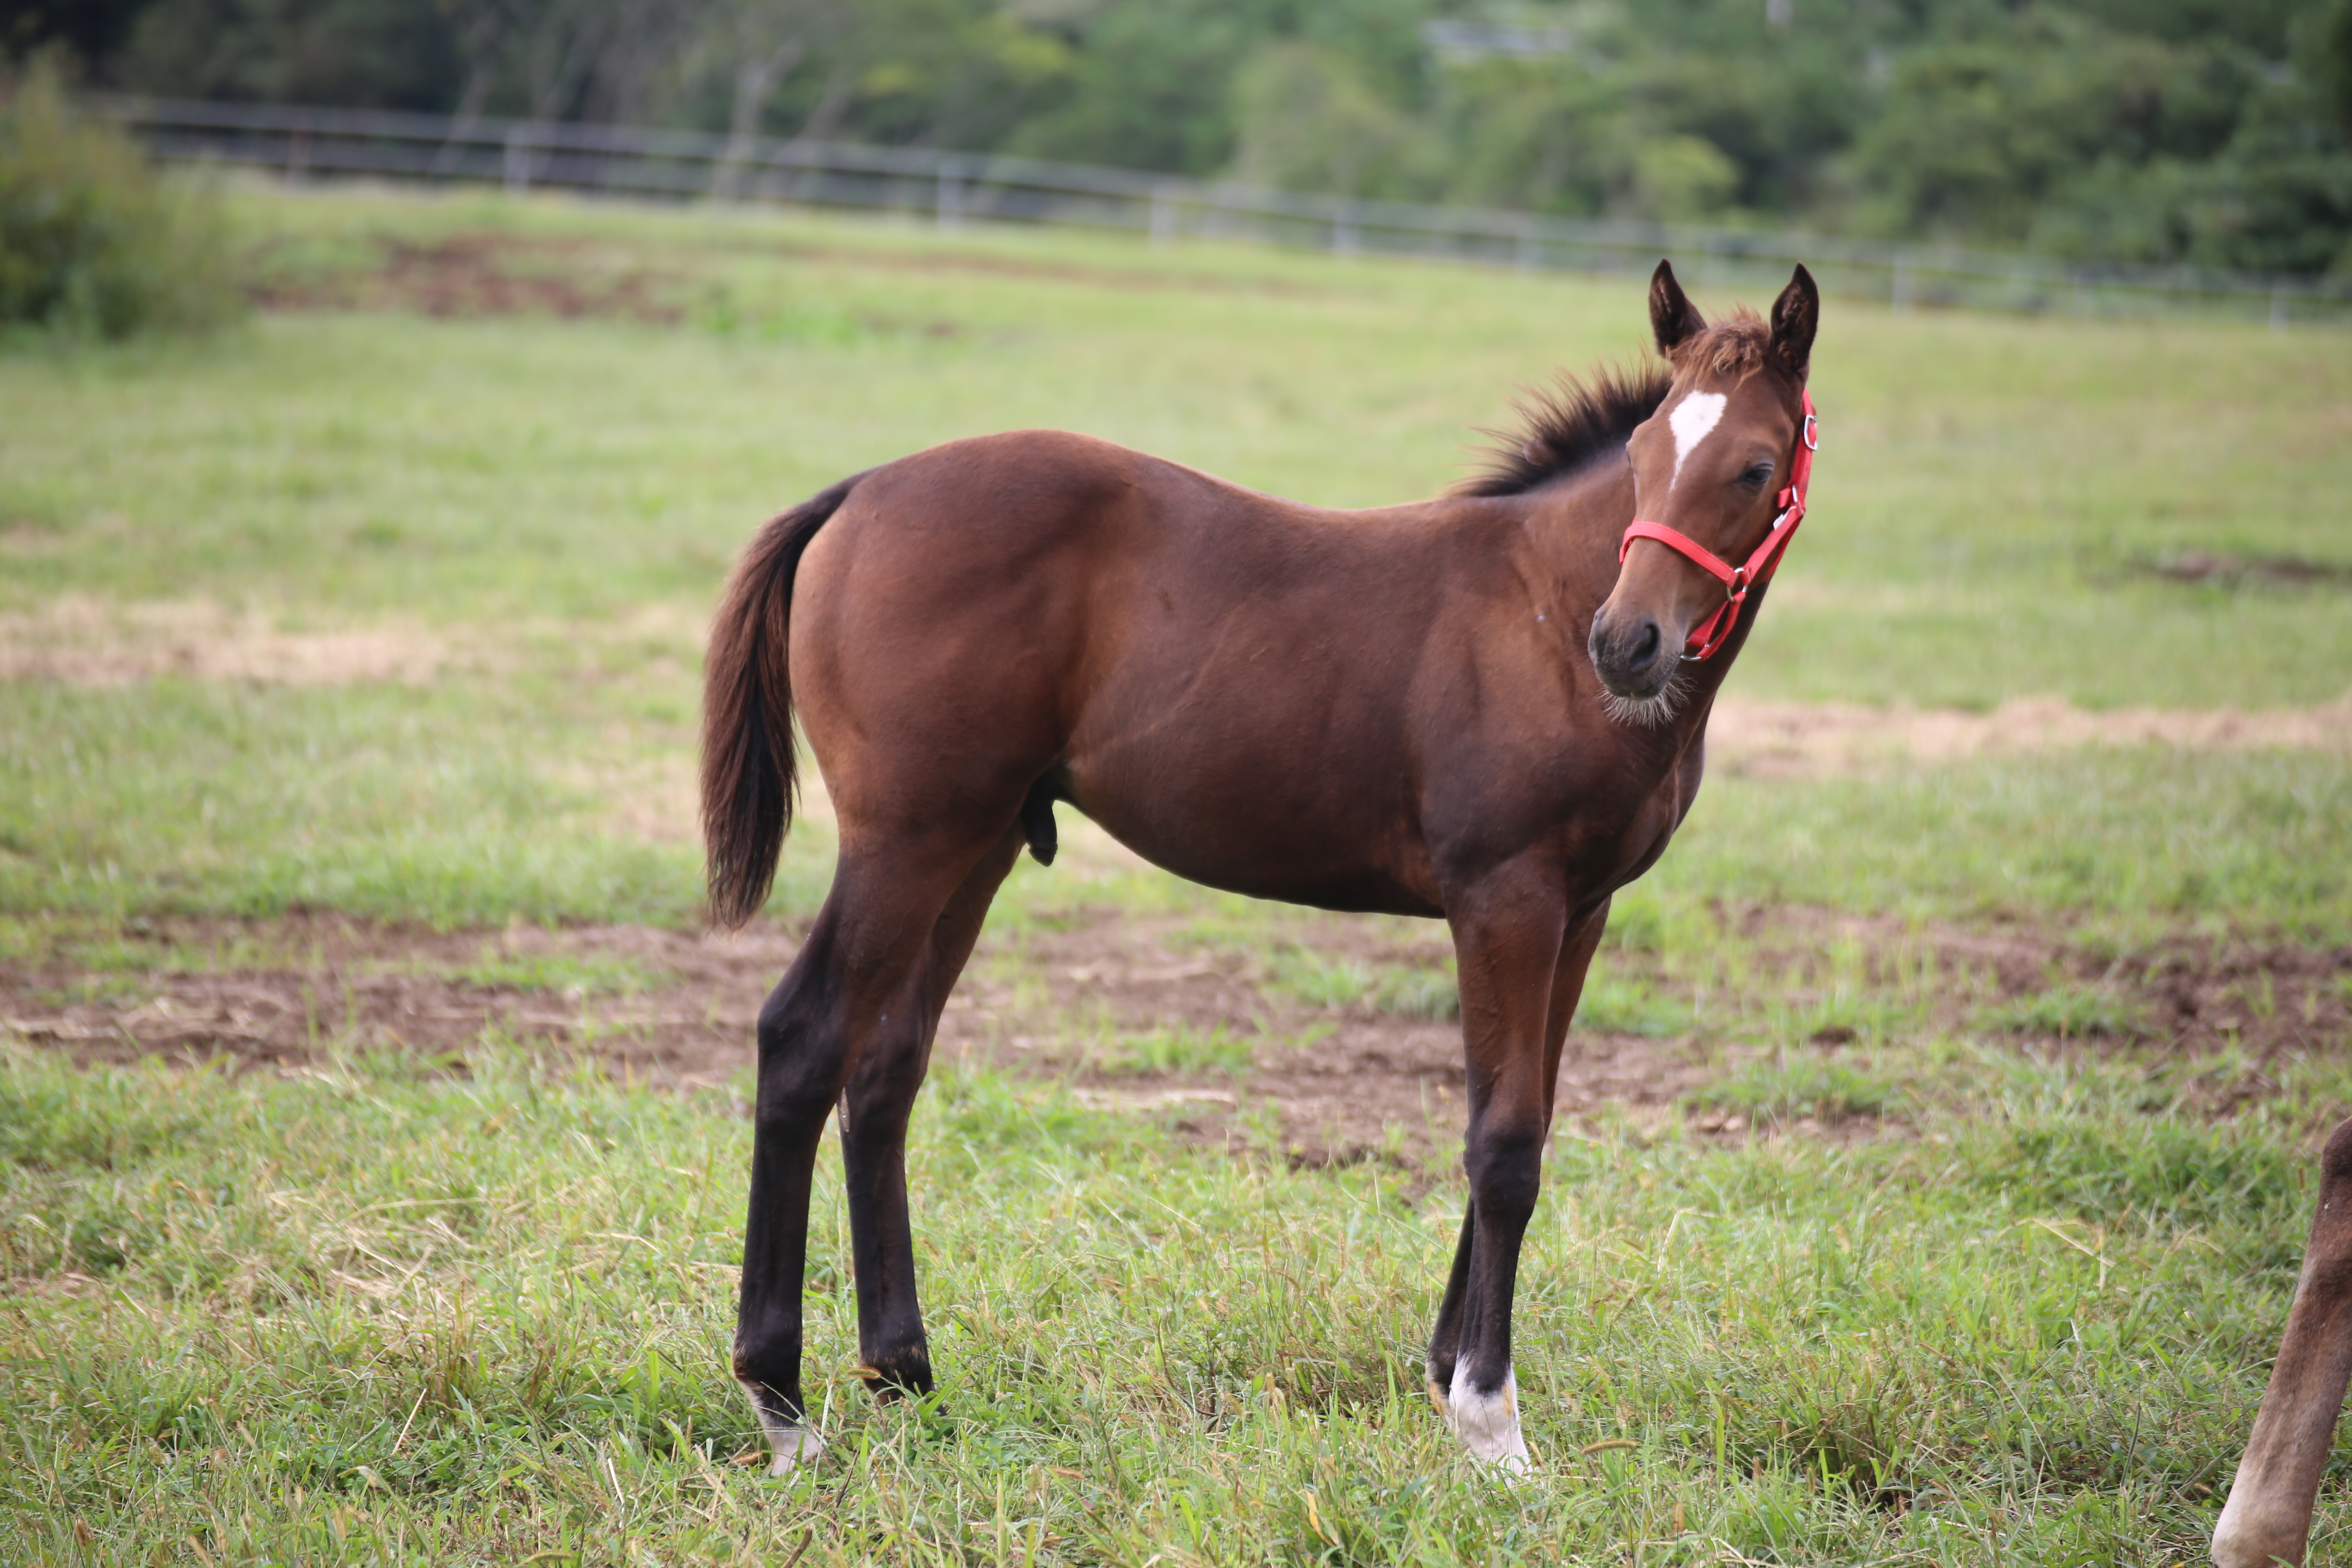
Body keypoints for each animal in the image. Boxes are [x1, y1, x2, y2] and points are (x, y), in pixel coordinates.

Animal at [706, 257, 1825, 1476]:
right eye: (1640, 454)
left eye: (1751, 466)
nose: (1625, 644)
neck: (1544, 606)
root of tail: (857, 493)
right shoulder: (1505, 898)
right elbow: (1502, 1144)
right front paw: (1490, 1422)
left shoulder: (1582, 910)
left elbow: (1520, 1115)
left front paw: (1446, 1371)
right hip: (905, 840)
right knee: (804, 1040)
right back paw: (780, 1400)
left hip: (975, 844)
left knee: (885, 1068)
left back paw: (904, 1374)